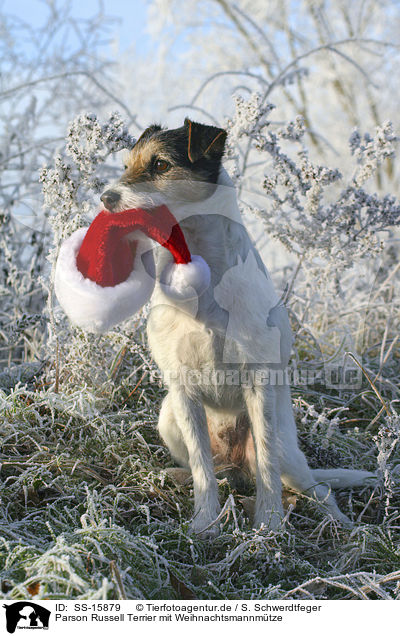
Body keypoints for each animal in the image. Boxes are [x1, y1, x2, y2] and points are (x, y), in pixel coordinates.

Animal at [100, 118, 376, 536]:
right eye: (127, 165)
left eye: (161, 164)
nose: (105, 198)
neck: (198, 272)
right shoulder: (182, 389)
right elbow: (202, 468)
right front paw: (205, 522)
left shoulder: (259, 381)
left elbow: (266, 463)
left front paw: (270, 523)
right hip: (169, 417)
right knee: (213, 470)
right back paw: (179, 477)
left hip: (289, 450)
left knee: (315, 487)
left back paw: (339, 522)